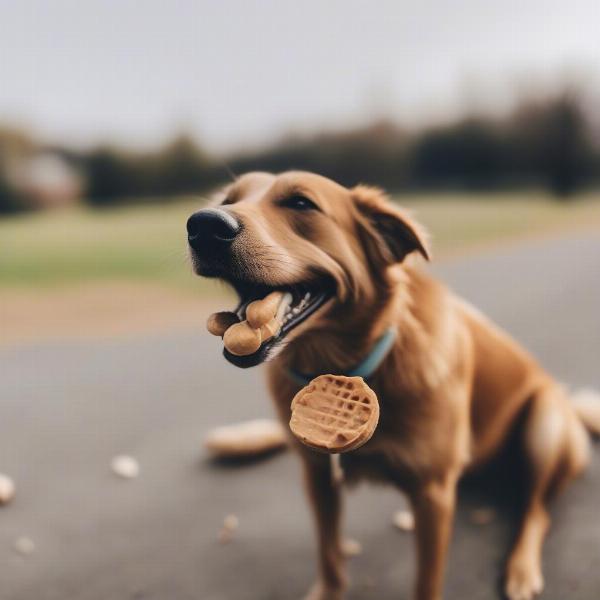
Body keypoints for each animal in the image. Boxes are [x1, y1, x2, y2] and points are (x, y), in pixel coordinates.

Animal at [188, 170, 600, 600]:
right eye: (228, 199)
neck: (350, 362)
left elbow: (426, 580)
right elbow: (329, 552)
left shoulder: (432, 493)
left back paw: (521, 568)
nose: (204, 226)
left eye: (301, 203)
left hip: (545, 424)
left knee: (537, 510)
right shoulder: (318, 475)